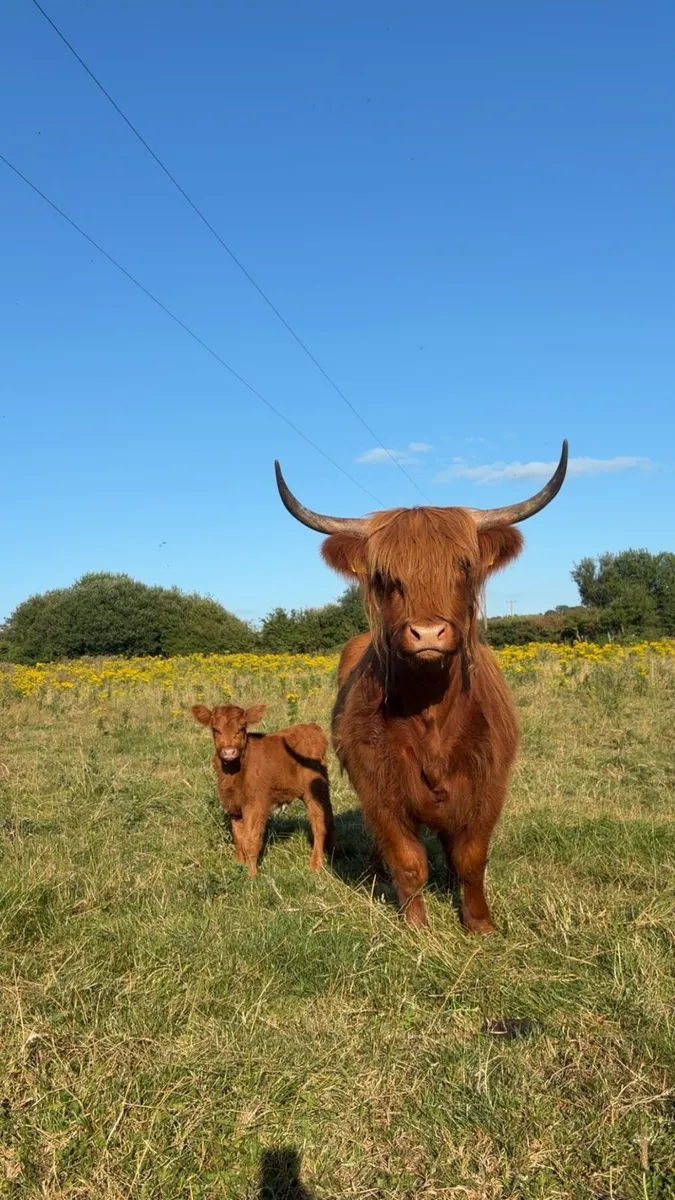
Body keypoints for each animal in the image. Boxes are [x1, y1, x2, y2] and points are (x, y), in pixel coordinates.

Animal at [191, 702, 335, 877]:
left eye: (242, 727)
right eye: (215, 729)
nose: (229, 752)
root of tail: (312, 727)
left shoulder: (256, 805)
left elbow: (251, 839)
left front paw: (252, 875)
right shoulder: (233, 806)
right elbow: (238, 838)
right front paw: (239, 864)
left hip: (313, 790)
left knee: (318, 823)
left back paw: (316, 865)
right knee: (329, 815)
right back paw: (334, 851)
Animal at [274, 442, 568, 933]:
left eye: (463, 567)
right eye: (384, 577)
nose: (428, 633)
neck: (430, 712)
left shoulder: (486, 787)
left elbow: (470, 859)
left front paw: (480, 925)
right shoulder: (380, 789)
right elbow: (408, 860)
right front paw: (416, 929)